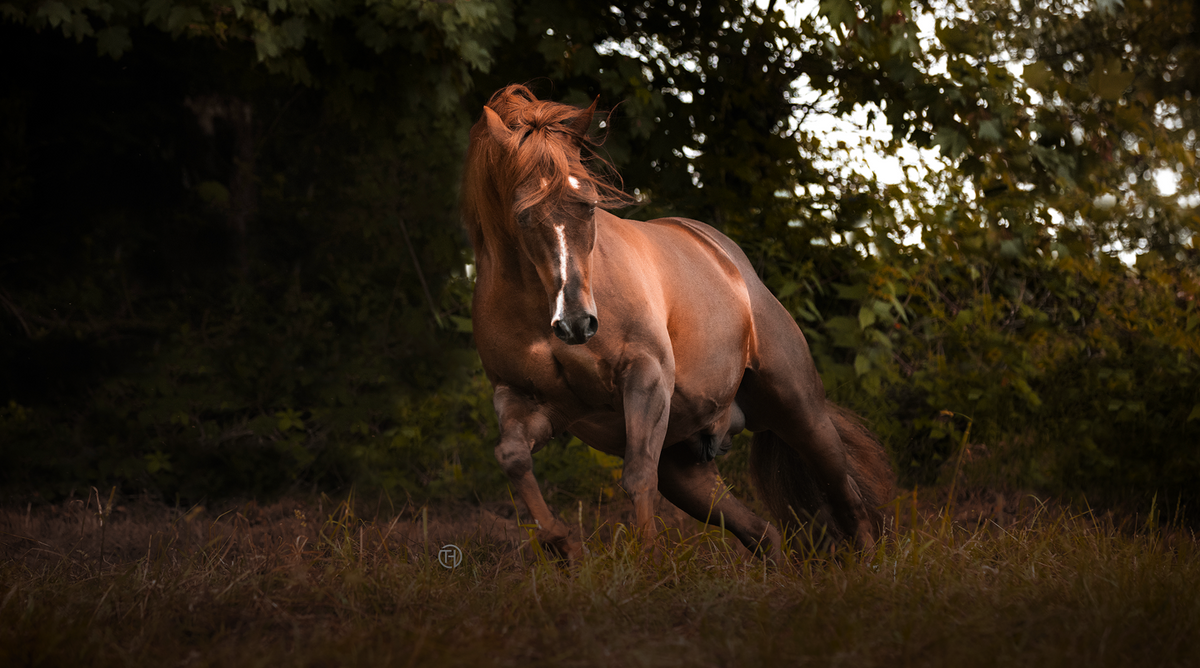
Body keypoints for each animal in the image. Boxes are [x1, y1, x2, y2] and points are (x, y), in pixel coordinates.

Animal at [462, 84, 894, 562]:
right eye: (522, 215)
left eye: (589, 206)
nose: (576, 325)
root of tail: (732, 262)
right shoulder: (531, 401)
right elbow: (513, 456)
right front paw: (562, 543)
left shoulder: (645, 377)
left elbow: (636, 476)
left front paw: (648, 562)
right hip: (687, 468)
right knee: (763, 532)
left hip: (802, 412)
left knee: (846, 497)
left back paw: (871, 564)